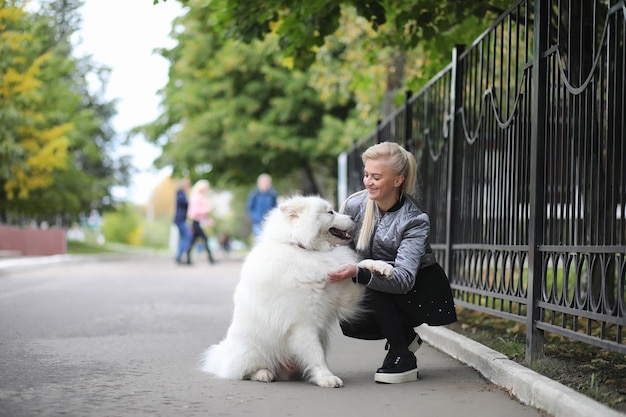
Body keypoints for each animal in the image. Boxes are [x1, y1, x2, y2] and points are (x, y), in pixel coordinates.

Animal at [202, 195, 390, 386]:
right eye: (330, 212)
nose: (353, 218)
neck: (303, 248)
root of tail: (223, 358)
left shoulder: (343, 294)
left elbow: (358, 265)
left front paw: (382, 267)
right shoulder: (303, 323)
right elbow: (316, 354)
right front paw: (326, 378)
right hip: (255, 350)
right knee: (245, 371)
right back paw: (263, 374)